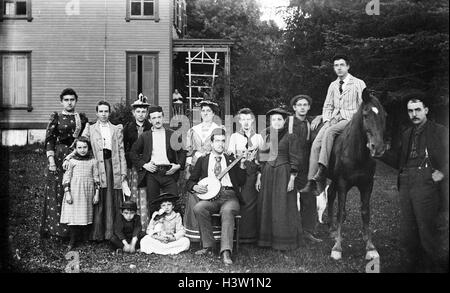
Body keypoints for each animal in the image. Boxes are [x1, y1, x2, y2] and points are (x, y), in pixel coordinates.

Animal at [326, 88, 386, 258]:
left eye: (385, 115)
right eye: (365, 114)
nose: (378, 148)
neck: (357, 154)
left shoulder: (367, 184)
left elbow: (365, 212)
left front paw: (370, 246)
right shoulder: (342, 183)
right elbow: (341, 211)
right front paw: (337, 247)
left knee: (330, 194)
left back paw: (331, 228)